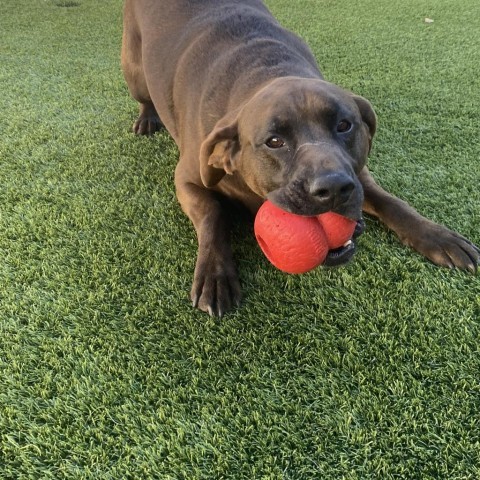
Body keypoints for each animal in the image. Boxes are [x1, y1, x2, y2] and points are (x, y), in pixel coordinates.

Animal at [120, 0, 476, 316]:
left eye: (344, 125)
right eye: (274, 142)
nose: (333, 189)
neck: (265, 69)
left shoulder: (359, 175)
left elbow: (393, 203)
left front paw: (437, 236)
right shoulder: (187, 179)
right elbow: (212, 213)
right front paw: (215, 272)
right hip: (133, 69)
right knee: (143, 95)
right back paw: (147, 117)